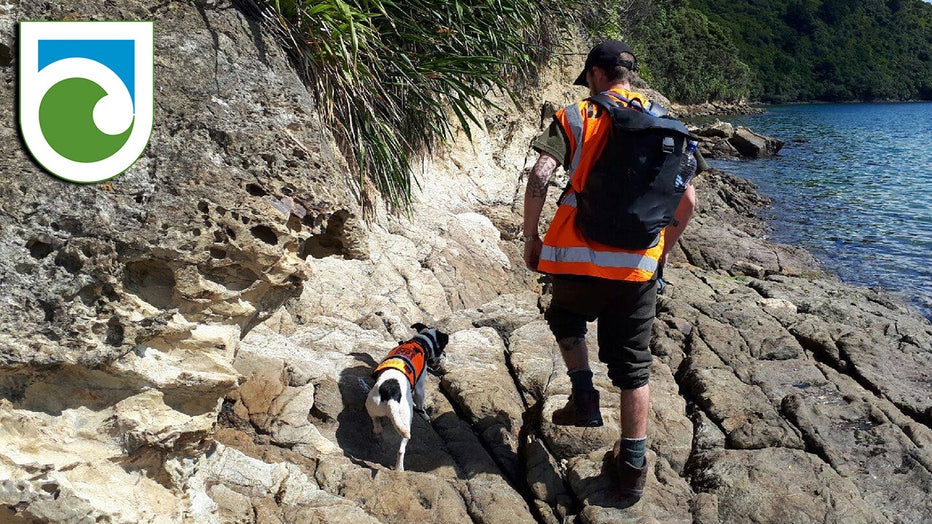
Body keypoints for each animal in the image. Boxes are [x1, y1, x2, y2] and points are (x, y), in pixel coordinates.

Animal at [366, 324, 450, 470]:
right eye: (442, 348)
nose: (444, 355)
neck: (421, 342)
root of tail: (392, 397)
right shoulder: (420, 387)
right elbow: (421, 404)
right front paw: (425, 415)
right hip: (406, 420)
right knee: (401, 450)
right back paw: (399, 469)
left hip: (372, 404)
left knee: (375, 422)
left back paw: (377, 431)